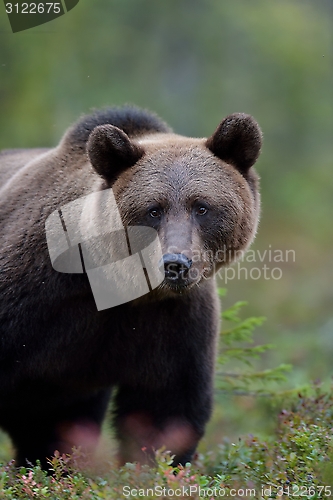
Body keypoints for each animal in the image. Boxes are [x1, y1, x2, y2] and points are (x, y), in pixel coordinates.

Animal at [0, 105, 260, 468]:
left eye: (202, 207)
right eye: (153, 210)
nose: (175, 264)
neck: (119, 287)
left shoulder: (172, 322)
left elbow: (165, 409)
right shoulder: (34, 298)